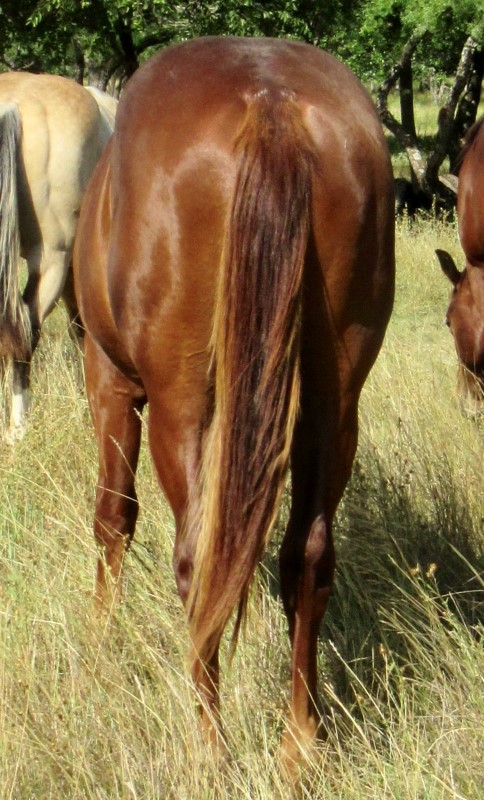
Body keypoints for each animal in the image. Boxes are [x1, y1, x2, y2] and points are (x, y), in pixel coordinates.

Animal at [73, 36, 396, 764]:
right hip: (334, 407)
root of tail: (272, 105)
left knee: (200, 563)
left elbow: (113, 515)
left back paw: (211, 753)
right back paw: (298, 749)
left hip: (181, 407)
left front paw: (100, 638)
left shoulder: (109, 383)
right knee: (308, 556)